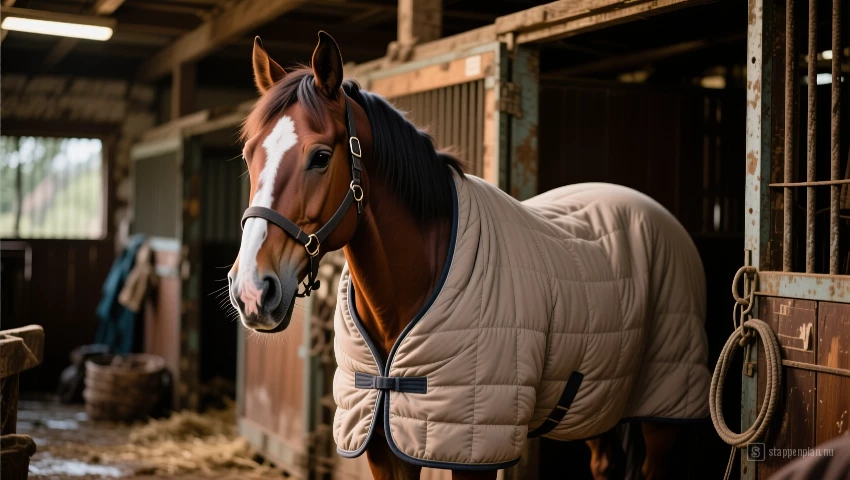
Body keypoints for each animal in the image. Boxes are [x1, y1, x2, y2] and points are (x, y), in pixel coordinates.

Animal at [228, 32, 711, 480]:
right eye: (249, 155)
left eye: (321, 156)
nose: (252, 290)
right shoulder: (383, 444)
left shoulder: (473, 452)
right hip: (597, 398)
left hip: (663, 410)